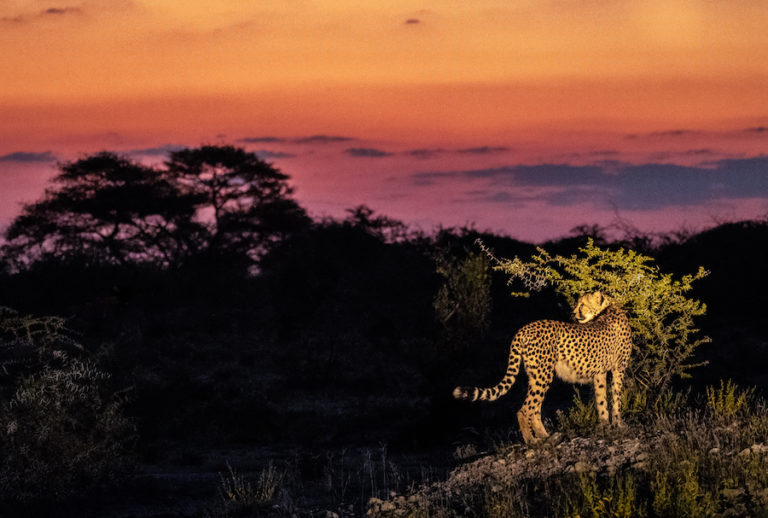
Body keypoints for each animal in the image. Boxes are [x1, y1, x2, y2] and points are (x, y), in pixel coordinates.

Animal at [453, 291, 632, 444]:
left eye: (582, 305)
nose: (574, 313)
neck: (607, 309)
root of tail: (525, 327)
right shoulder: (618, 369)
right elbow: (616, 397)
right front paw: (619, 424)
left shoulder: (600, 373)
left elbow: (602, 400)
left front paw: (605, 425)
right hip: (543, 375)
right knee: (525, 410)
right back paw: (532, 441)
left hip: (535, 376)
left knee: (535, 409)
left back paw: (544, 435)